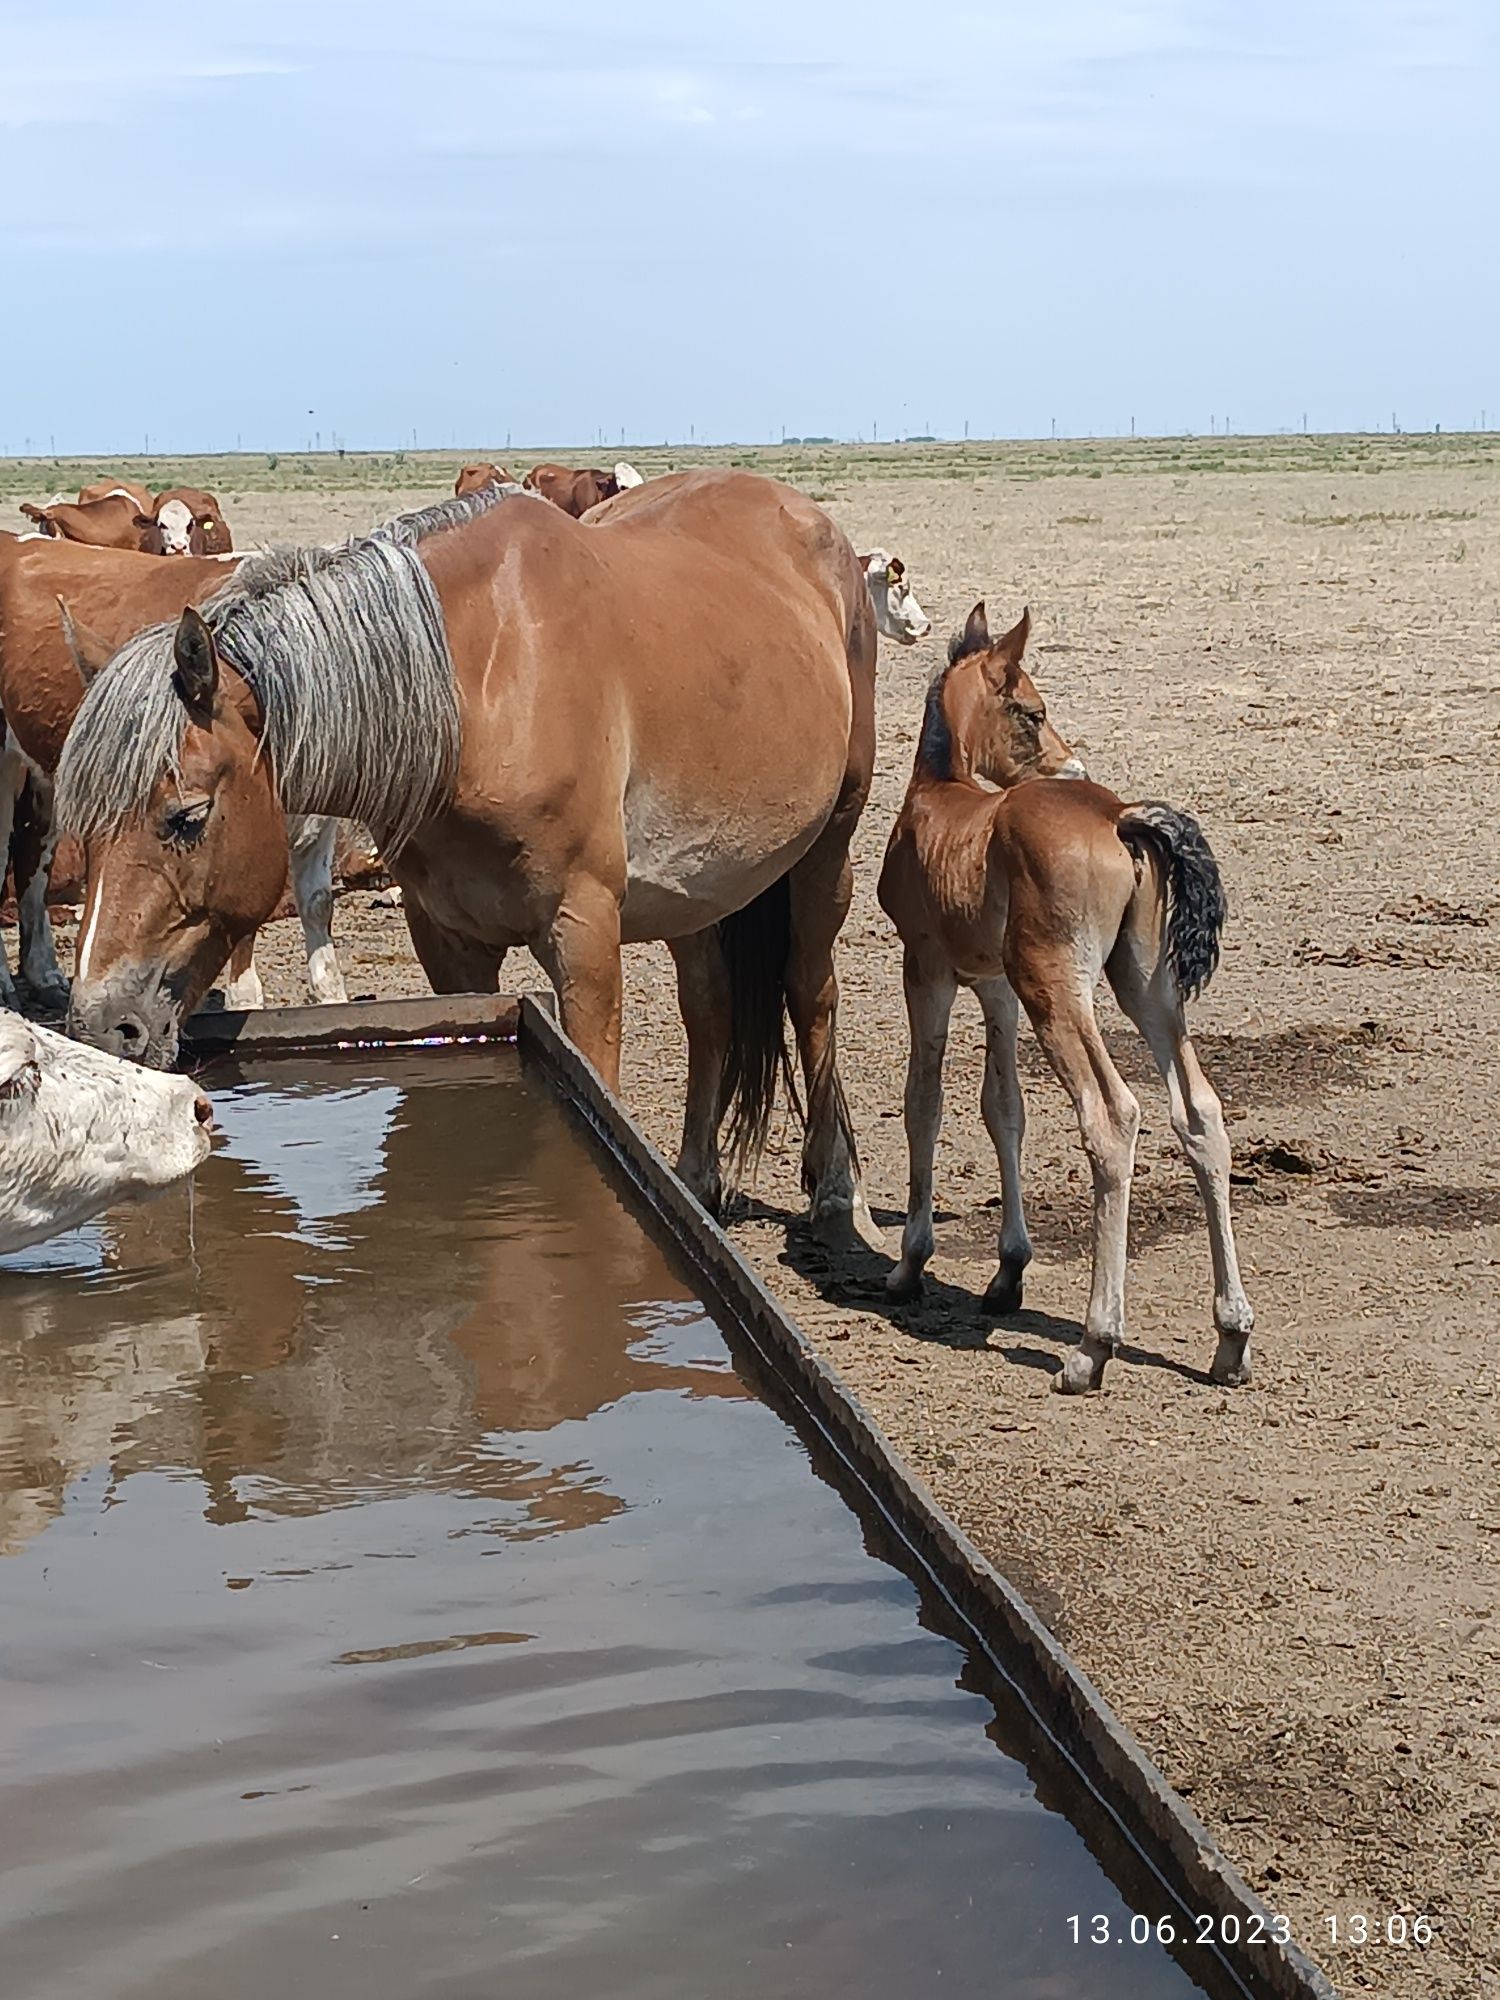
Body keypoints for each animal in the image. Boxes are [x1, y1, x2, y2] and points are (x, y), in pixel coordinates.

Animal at [55, 474, 880, 1240]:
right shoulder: (448, 944)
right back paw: (698, 1179)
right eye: (81, 830)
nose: (100, 1023)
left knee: (811, 992)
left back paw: (840, 1194)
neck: (480, 687)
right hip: (701, 883)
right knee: (708, 1007)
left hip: (827, 848)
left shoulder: (584, 933)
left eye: (186, 817)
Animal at [880, 600, 1256, 1400]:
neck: (941, 796)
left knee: (1111, 1117)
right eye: (1031, 710)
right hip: (1146, 986)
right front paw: (1005, 1275)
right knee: (1200, 1112)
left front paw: (909, 1264)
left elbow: (924, 1101)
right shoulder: (993, 984)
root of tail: (1121, 819)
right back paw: (1231, 1337)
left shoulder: (925, 968)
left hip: (1057, 986)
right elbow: (1003, 1110)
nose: (1073, 761)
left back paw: (1093, 1346)